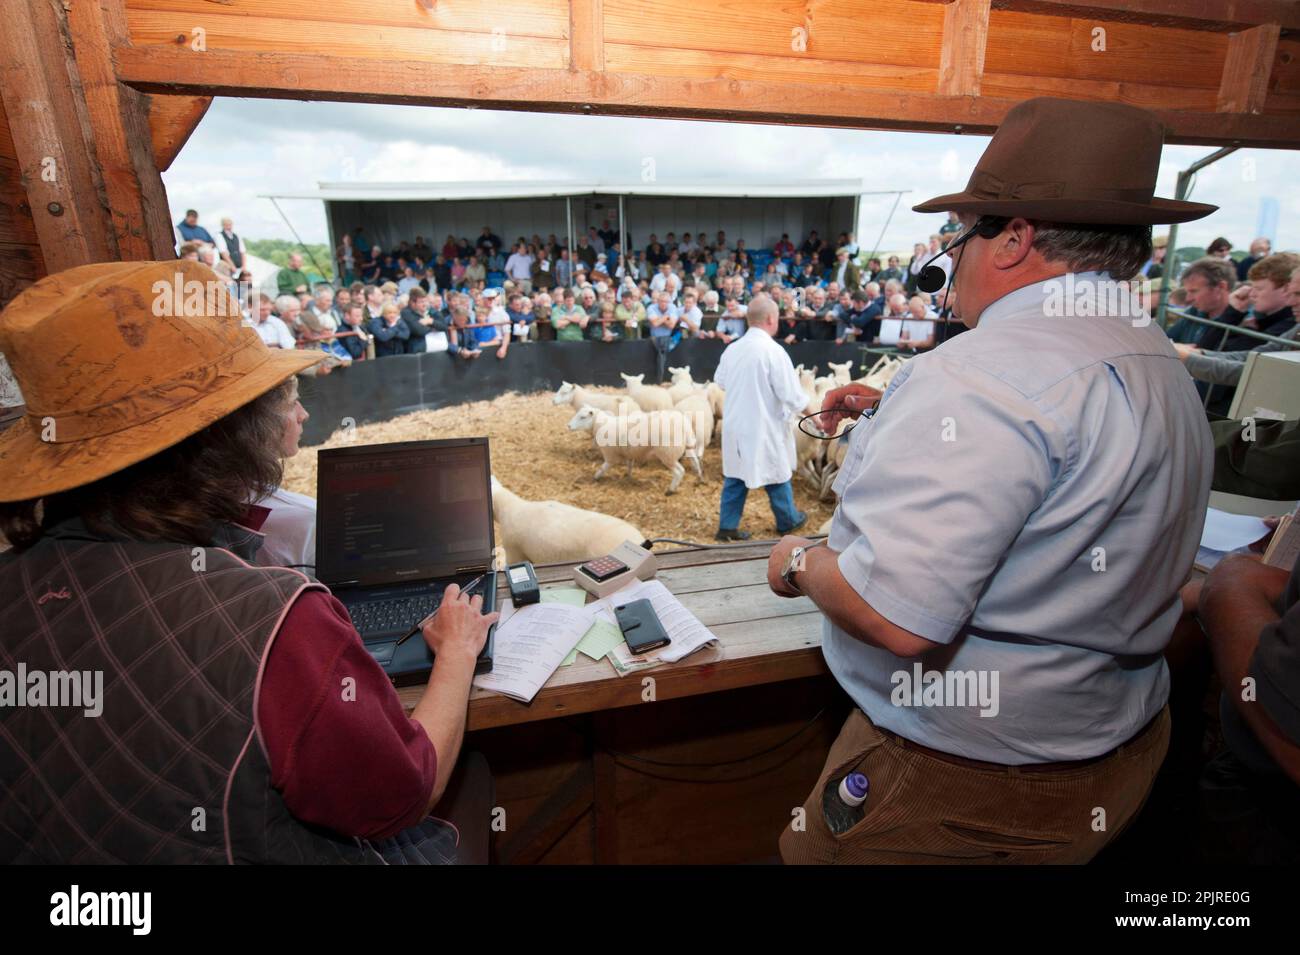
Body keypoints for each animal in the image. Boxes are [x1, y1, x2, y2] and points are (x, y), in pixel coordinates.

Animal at [569, 402, 702, 493]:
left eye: (582, 417)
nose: (568, 426)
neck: (601, 425)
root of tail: (684, 425)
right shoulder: (629, 452)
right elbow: (629, 465)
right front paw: (628, 477)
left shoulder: (610, 455)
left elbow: (603, 467)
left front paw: (595, 477)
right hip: (688, 446)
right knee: (695, 463)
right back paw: (700, 479)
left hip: (667, 452)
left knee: (680, 471)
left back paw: (671, 490)